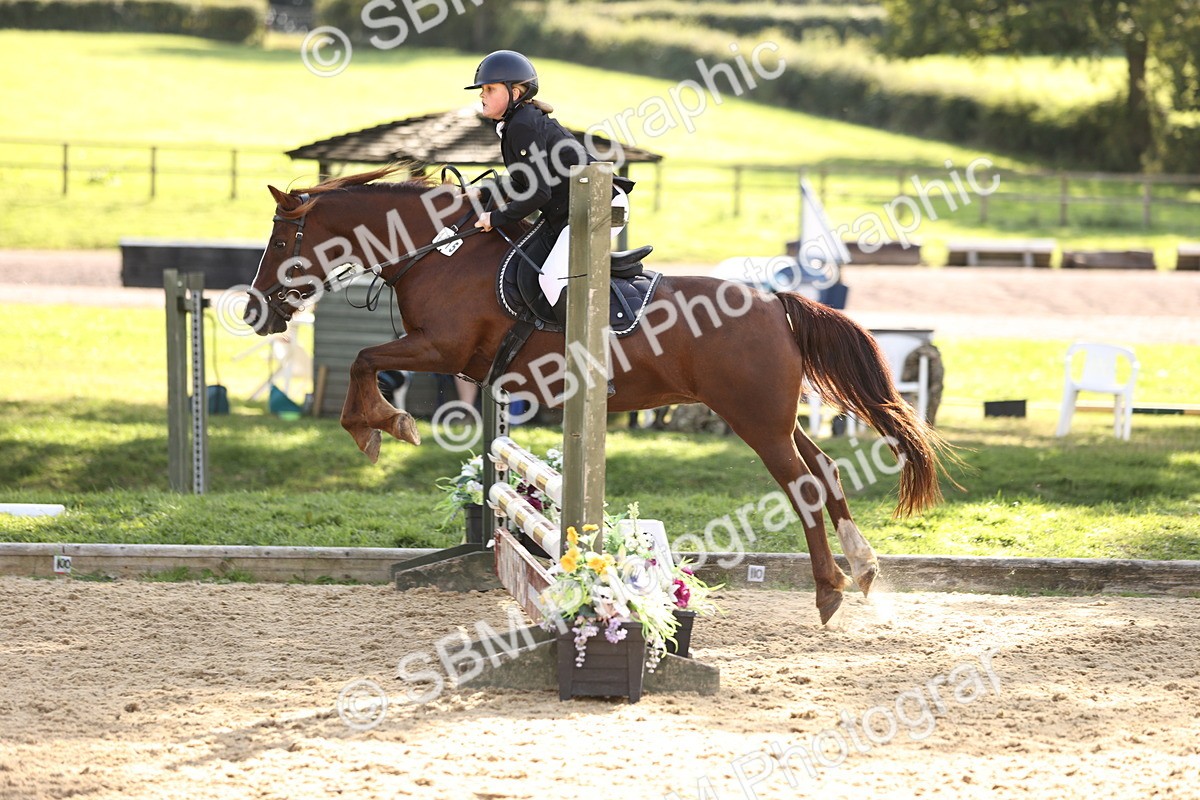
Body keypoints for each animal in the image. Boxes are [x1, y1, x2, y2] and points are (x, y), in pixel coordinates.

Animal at [244, 165, 954, 625]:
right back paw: (864, 570)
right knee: (825, 467)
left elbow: (364, 361)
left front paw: (380, 426)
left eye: (281, 240)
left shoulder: (440, 350)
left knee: (803, 483)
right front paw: (385, 425)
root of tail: (775, 300)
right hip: (773, 415)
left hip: (754, 419)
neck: (437, 255)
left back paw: (830, 590)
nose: (255, 312)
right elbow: (372, 364)